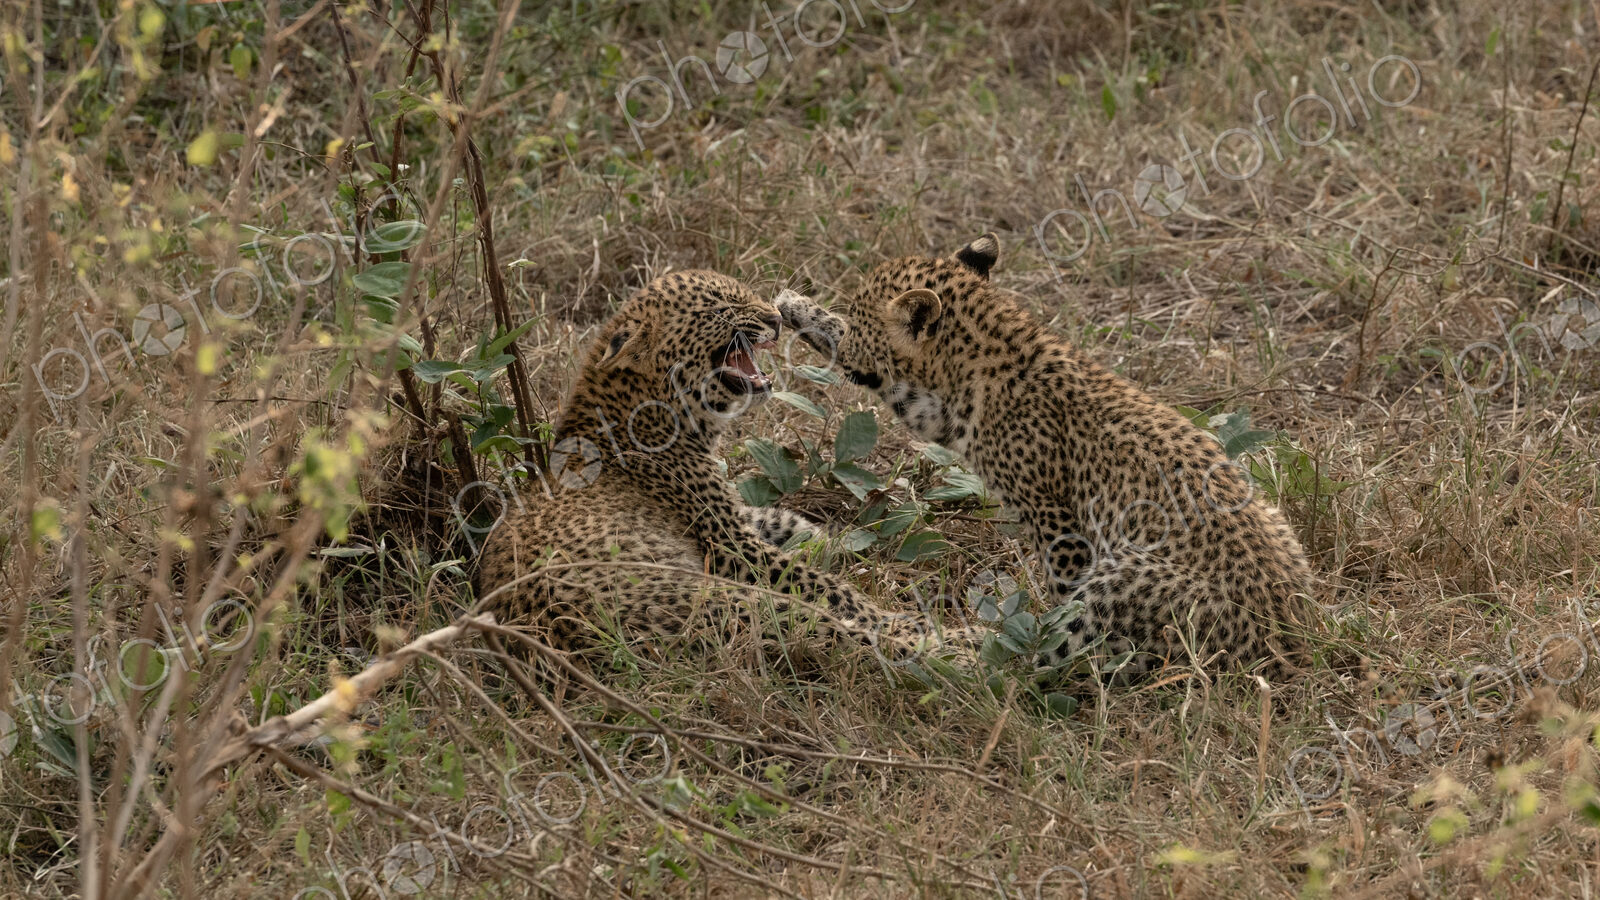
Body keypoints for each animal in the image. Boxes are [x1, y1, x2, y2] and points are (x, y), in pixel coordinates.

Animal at [475, 270, 959, 666]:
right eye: (724, 308)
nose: (777, 318)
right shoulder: (731, 546)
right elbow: (826, 586)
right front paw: (876, 601)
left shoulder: (730, 517)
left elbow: (784, 521)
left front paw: (827, 539)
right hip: (728, 601)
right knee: (843, 631)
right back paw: (945, 641)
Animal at [778, 234, 1317, 681]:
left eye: (861, 322)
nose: (849, 339)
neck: (993, 348)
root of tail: (1289, 645)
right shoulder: (941, 414)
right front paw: (796, 307)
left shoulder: (1056, 519)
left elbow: (1059, 604)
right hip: (1274, 518)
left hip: (1128, 580)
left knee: (1051, 662)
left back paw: (935, 644)